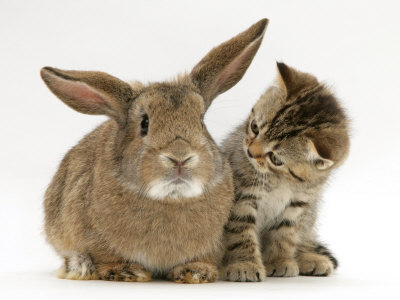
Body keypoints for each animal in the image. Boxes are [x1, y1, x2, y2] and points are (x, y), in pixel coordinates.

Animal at [40, 19, 268, 284]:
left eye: (201, 121)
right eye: (144, 123)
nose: (180, 158)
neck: (171, 198)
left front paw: (196, 272)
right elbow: (106, 256)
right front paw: (126, 272)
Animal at [222, 62, 350, 282]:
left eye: (275, 159)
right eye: (255, 127)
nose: (250, 152)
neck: (282, 181)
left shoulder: (299, 204)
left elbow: (285, 234)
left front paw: (279, 261)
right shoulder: (242, 196)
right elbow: (241, 231)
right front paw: (245, 264)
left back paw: (310, 258)